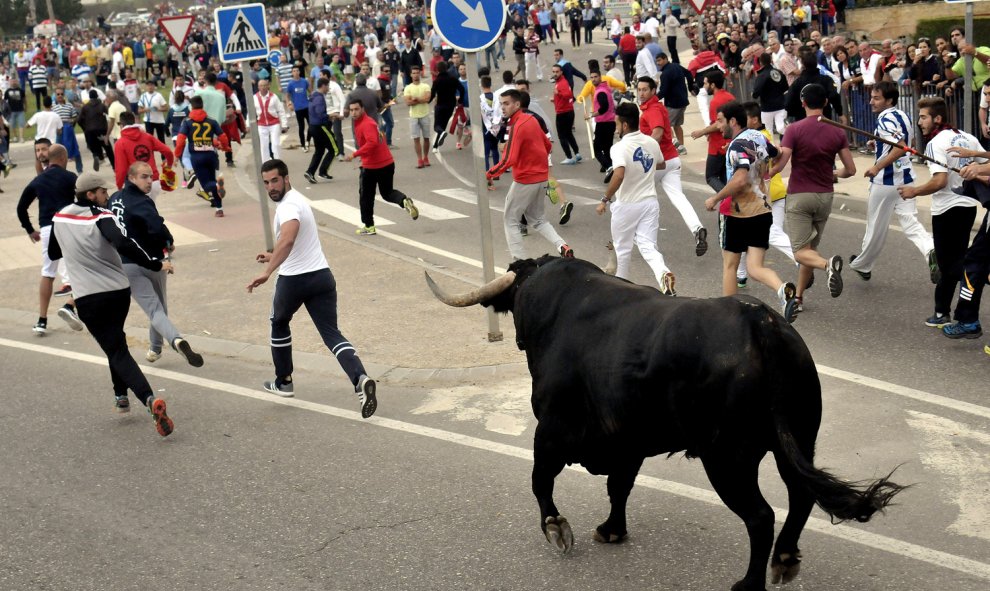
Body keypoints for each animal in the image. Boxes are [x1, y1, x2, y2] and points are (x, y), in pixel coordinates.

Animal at [426, 256, 908, 591]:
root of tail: (763, 325)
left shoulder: (552, 429)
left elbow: (540, 481)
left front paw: (557, 528)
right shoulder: (627, 442)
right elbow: (618, 487)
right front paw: (612, 530)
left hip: (728, 458)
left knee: (760, 516)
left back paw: (749, 583)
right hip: (799, 439)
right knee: (800, 497)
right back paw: (785, 559)